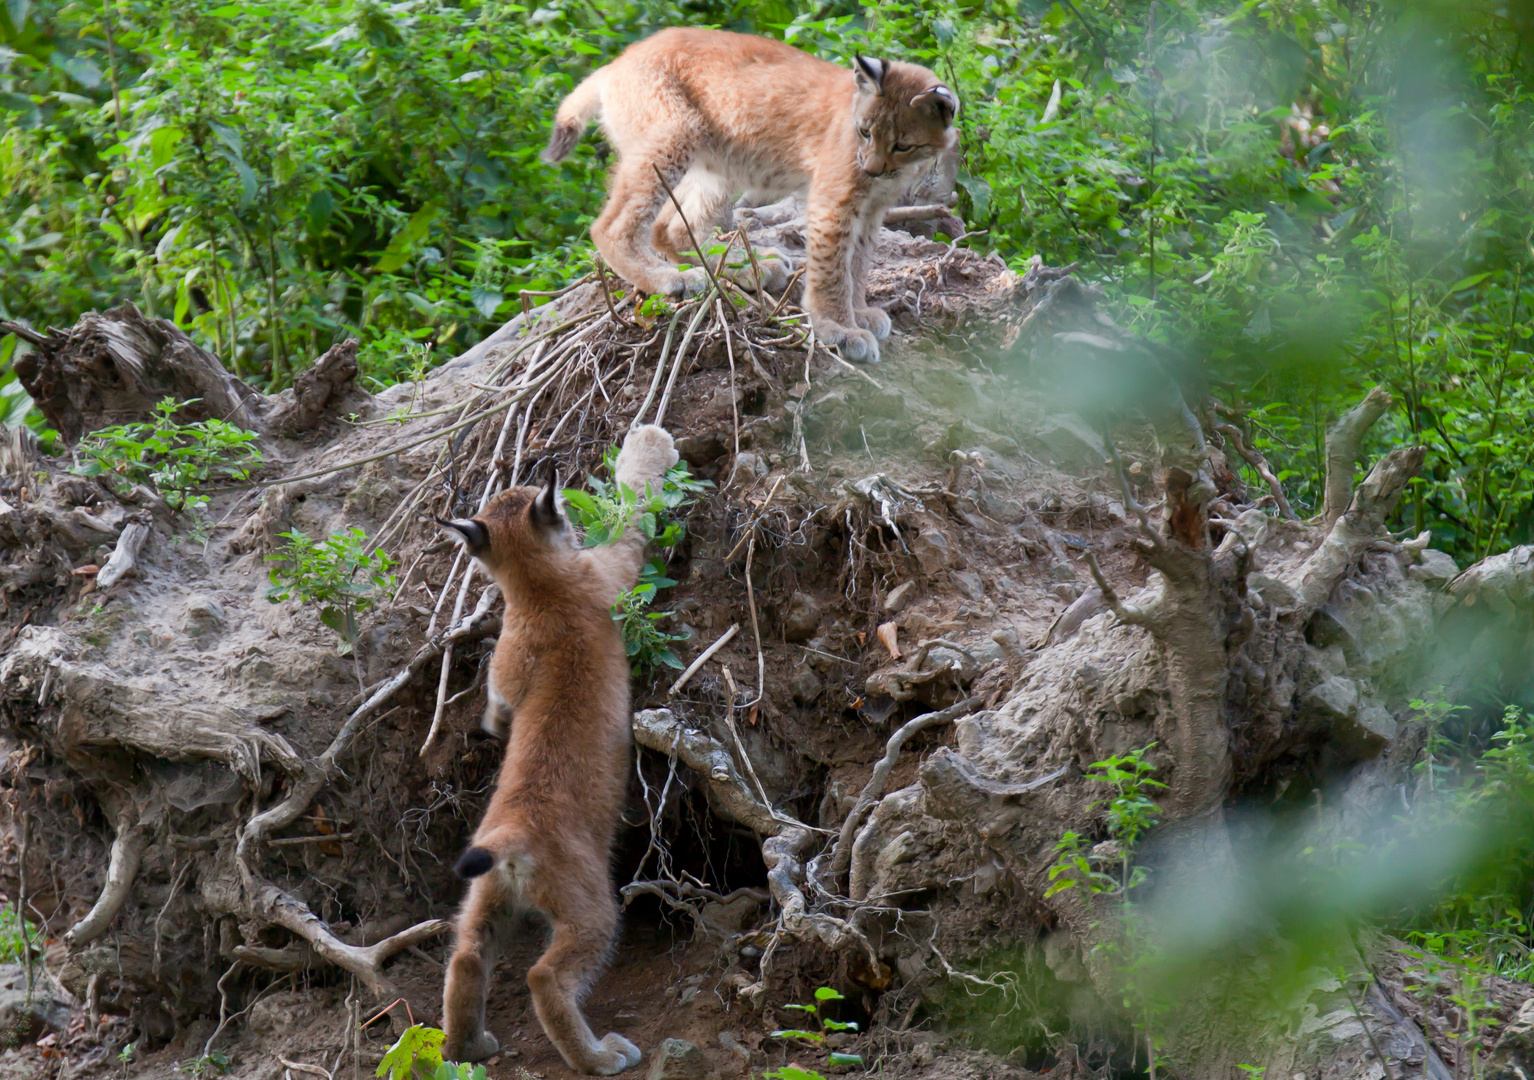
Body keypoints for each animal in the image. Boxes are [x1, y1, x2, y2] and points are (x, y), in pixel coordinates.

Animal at [441, 423, 681, 1073]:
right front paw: (649, 445)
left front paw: (493, 726)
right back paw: (598, 1056)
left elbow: (497, 706)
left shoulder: (505, 668)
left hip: (484, 898)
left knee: (466, 955)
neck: (537, 586)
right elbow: (635, 506)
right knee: (545, 977)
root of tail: (510, 832)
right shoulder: (614, 569)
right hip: (590, 906)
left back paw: (466, 1046)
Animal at [543, 27, 957, 365]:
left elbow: (857, 264)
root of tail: (618, 61)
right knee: (609, 226)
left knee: (671, 229)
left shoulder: (872, 209)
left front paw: (860, 313)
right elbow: (834, 267)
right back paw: (665, 277)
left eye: (902, 145)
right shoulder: (833, 200)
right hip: (676, 131)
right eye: (865, 132)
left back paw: (744, 267)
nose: (870, 168)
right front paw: (838, 328)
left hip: (713, 159)